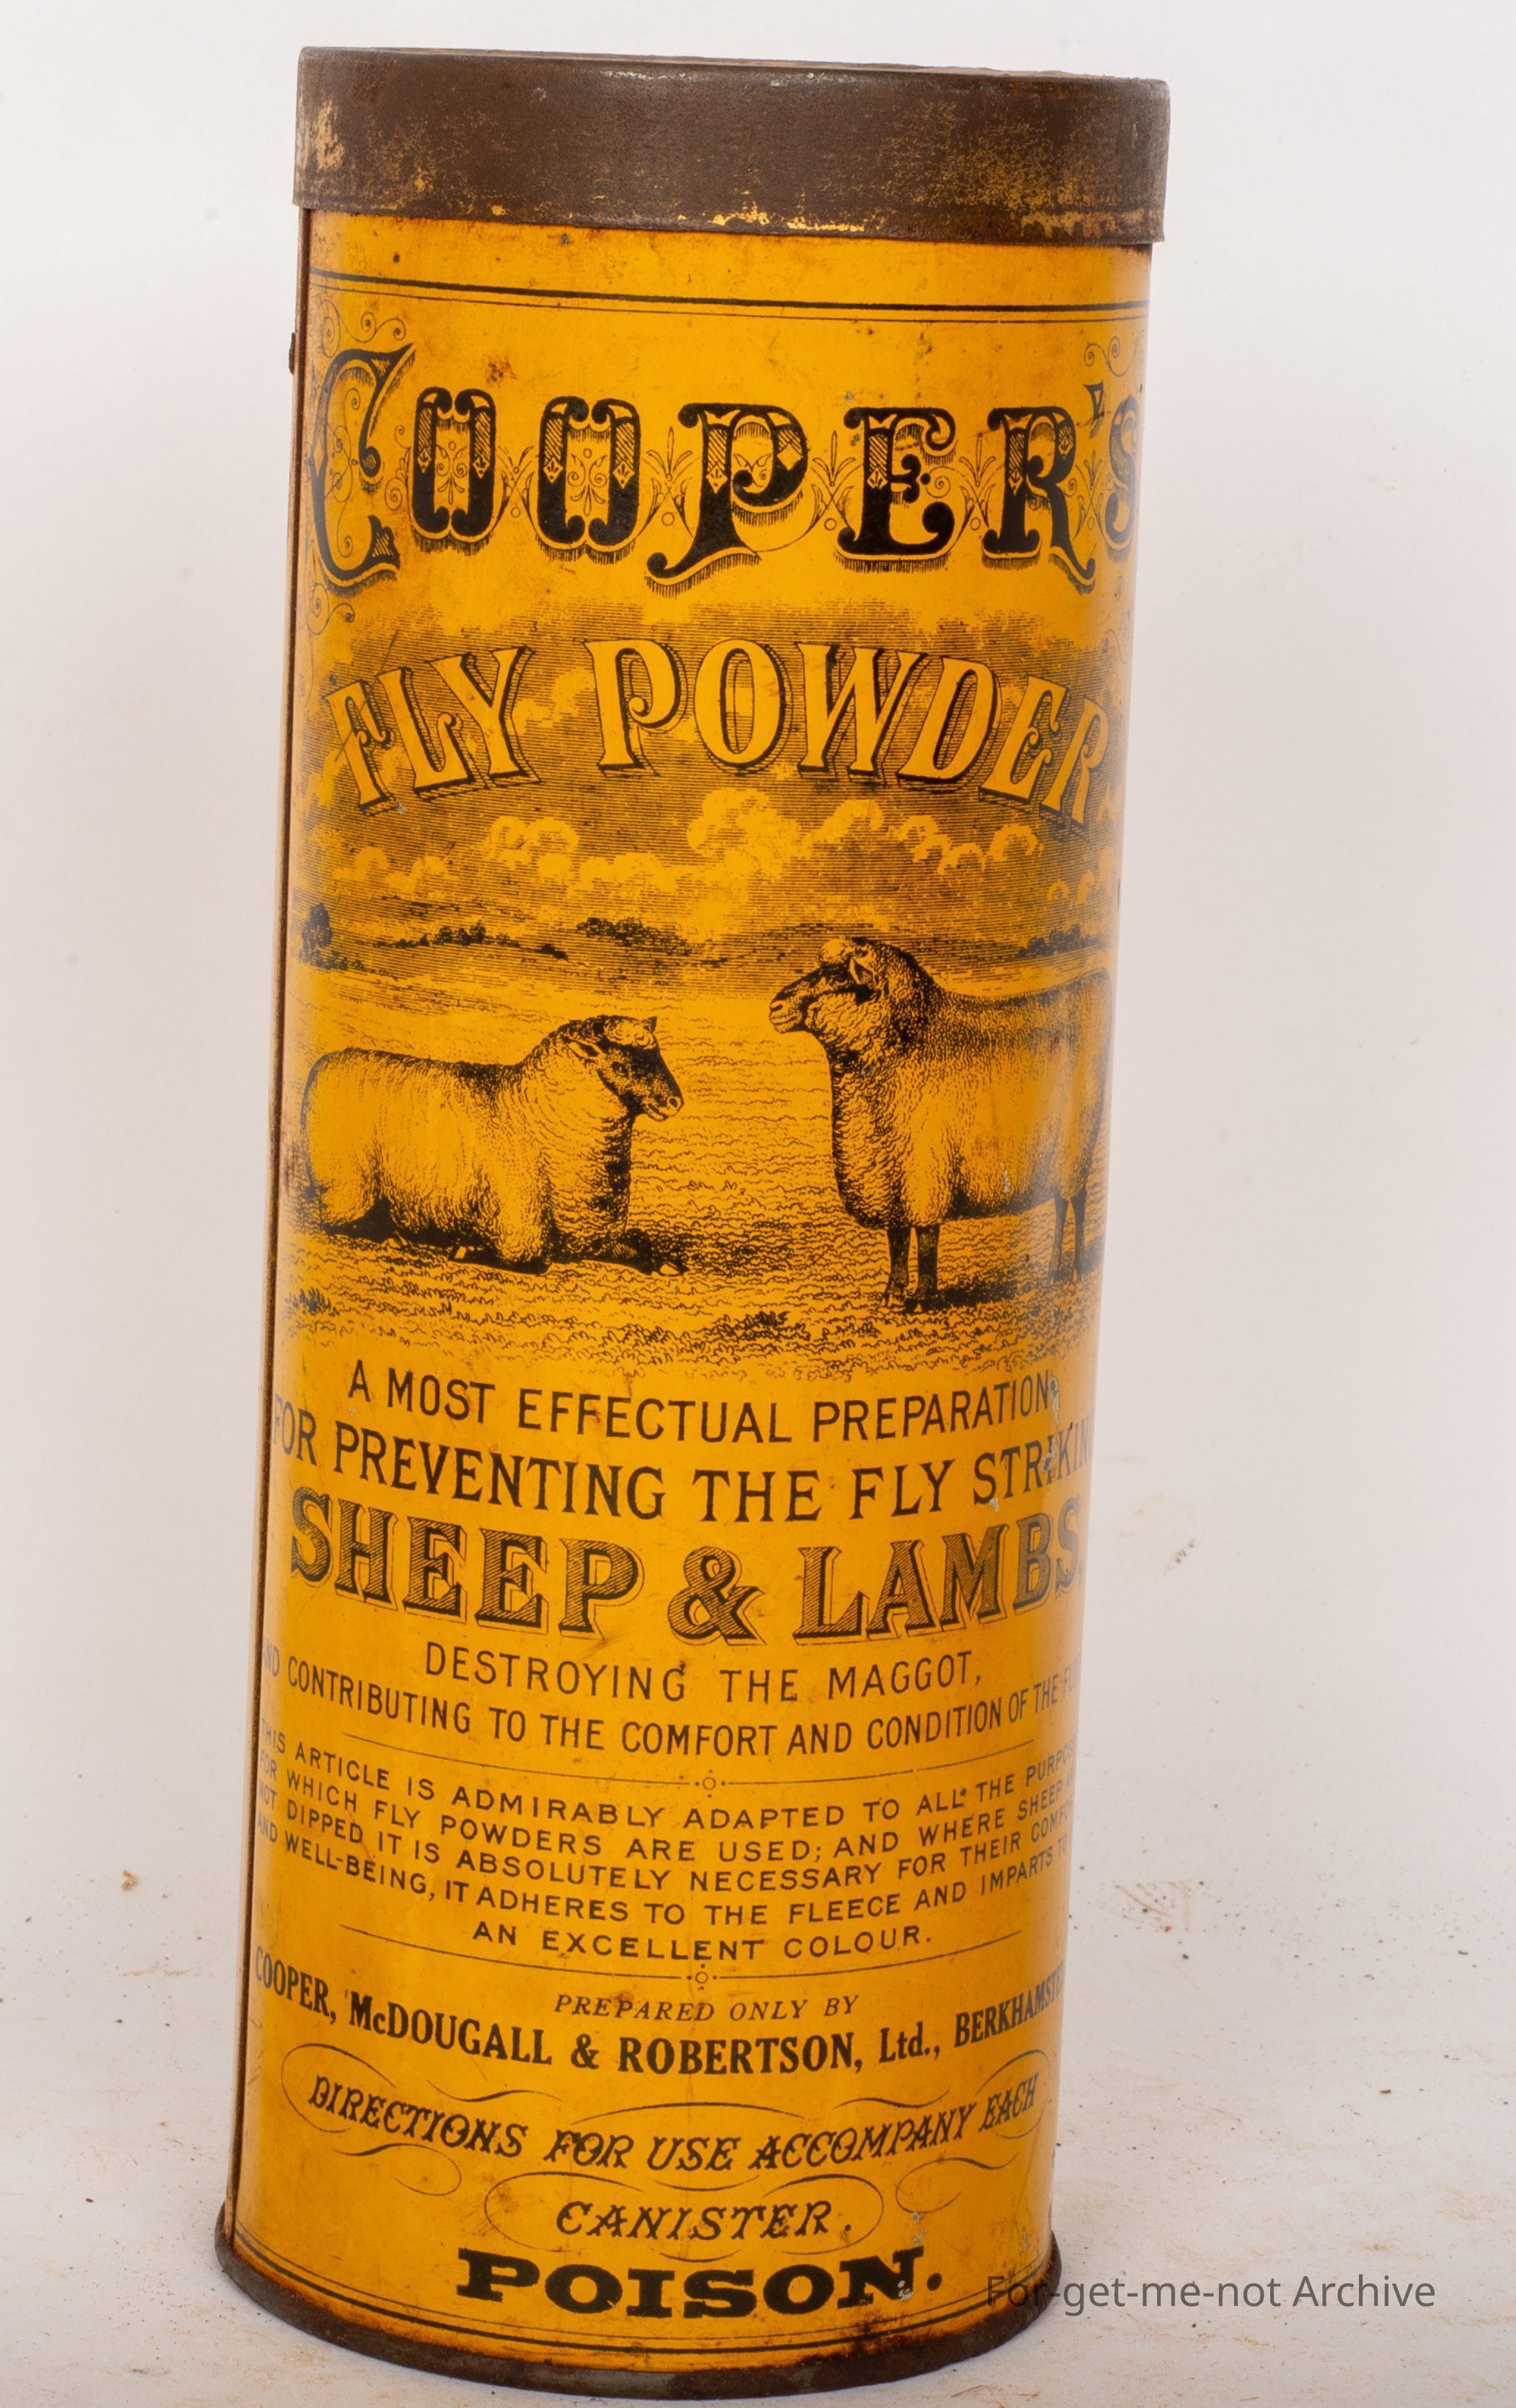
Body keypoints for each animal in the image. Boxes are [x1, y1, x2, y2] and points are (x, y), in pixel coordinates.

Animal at [301, 1016, 682, 1272]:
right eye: (621, 1064)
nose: (675, 1102)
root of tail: (324, 1062)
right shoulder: (517, 1231)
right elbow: (533, 1259)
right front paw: (466, 1250)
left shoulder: (596, 1236)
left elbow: (639, 1246)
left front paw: (665, 1264)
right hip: (348, 1185)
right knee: (338, 1222)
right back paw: (391, 1236)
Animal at [770, 938, 1111, 1309]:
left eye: (839, 978)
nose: (775, 1006)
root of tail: (1092, 981)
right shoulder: (895, 1183)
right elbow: (897, 1241)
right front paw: (892, 1294)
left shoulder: (925, 1176)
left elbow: (926, 1241)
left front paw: (922, 1297)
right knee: (1061, 1205)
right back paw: (1051, 1272)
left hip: (1075, 1150)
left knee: (1076, 1202)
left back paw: (1074, 1271)